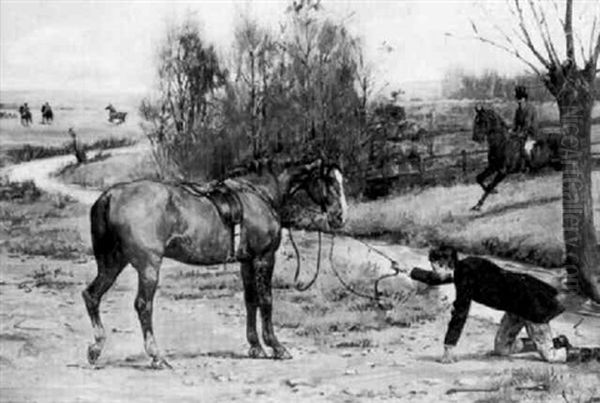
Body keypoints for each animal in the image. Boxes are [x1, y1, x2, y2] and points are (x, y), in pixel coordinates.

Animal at [82, 158, 350, 370]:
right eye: (330, 181)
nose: (340, 217)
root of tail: (111, 195)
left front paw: (255, 347)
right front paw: (277, 346)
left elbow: (250, 300)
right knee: (143, 306)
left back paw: (96, 348)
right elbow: (266, 301)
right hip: (148, 267)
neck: (259, 194)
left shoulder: (247, 261)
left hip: (112, 263)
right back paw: (157, 357)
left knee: (92, 295)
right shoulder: (264, 257)